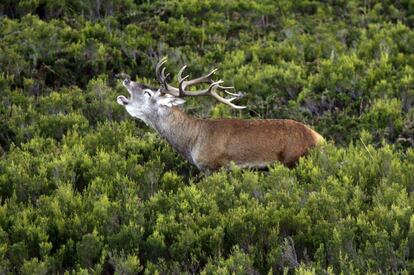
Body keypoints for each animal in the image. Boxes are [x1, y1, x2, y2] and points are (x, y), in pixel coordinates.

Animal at [116, 58, 324, 172]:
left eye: (147, 93)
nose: (126, 80)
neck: (192, 140)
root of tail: (320, 139)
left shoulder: (213, 166)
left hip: (293, 160)